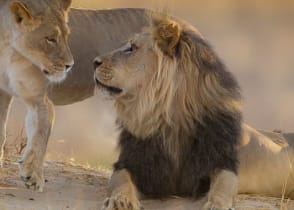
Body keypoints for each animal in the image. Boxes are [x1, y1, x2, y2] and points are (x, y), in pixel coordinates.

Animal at [0, 0, 73, 192]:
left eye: (66, 36)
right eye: (50, 39)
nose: (70, 65)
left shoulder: (37, 98)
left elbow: (41, 132)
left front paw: (33, 174)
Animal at [94, 15, 243, 210]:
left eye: (132, 48)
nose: (94, 62)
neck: (171, 116)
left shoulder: (220, 159)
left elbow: (224, 183)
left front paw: (217, 204)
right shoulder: (133, 164)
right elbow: (122, 180)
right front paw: (121, 200)